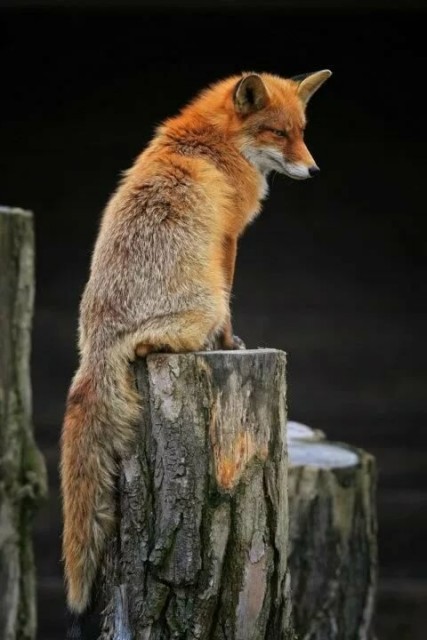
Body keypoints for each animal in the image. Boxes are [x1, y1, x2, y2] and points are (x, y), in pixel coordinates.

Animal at [61, 69, 332, 626]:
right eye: (278, 133)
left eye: (301, 132)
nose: (314, 169)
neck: (210, 145)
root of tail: (96, 344)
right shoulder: (227, 241)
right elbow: (232, 303)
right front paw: (229, 343)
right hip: (200, 303)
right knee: (155, 344)